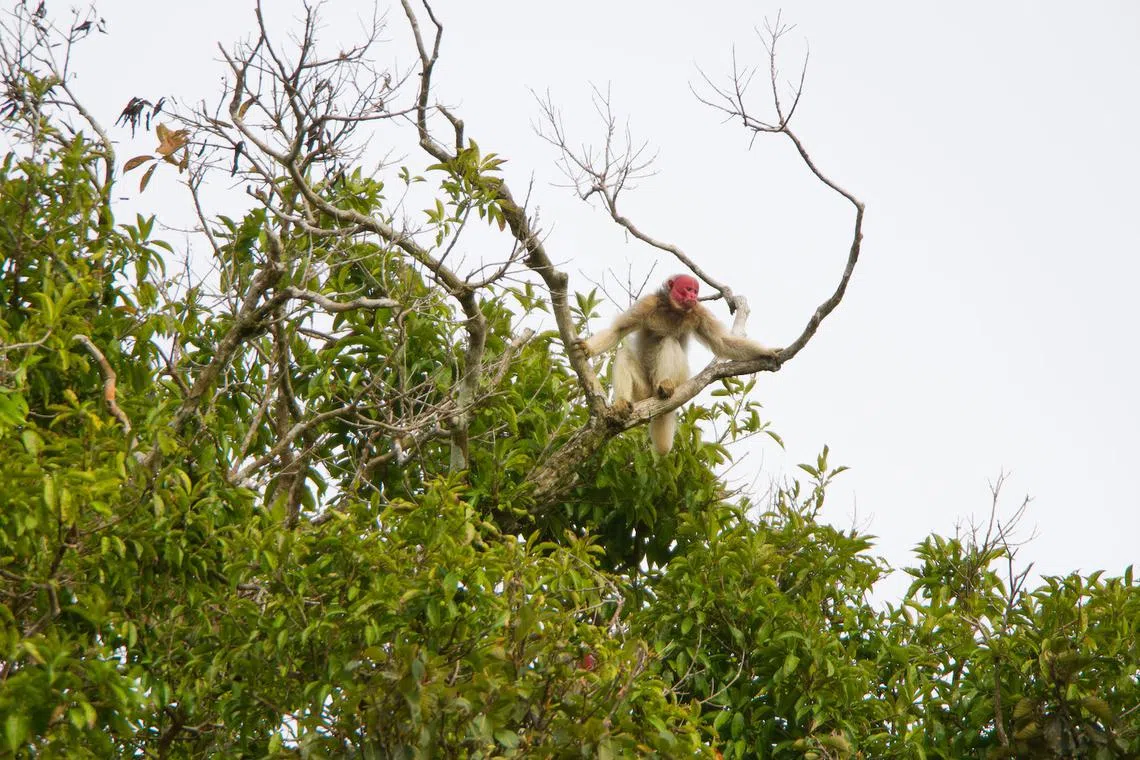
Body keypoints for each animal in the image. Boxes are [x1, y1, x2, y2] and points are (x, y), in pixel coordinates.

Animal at [578, 274, 780, 455]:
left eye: (695, 291)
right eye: (688, 289)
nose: (693, 296)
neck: (672, 310)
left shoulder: (699, 311)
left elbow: (722, 342)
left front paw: (767, 352)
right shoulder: (647, 304)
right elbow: (617, 331)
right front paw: (587, 348)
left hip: (681, 378)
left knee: (669, 341)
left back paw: (665, 385)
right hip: (642, 393)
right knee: (624, 354)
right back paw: (622, 403)